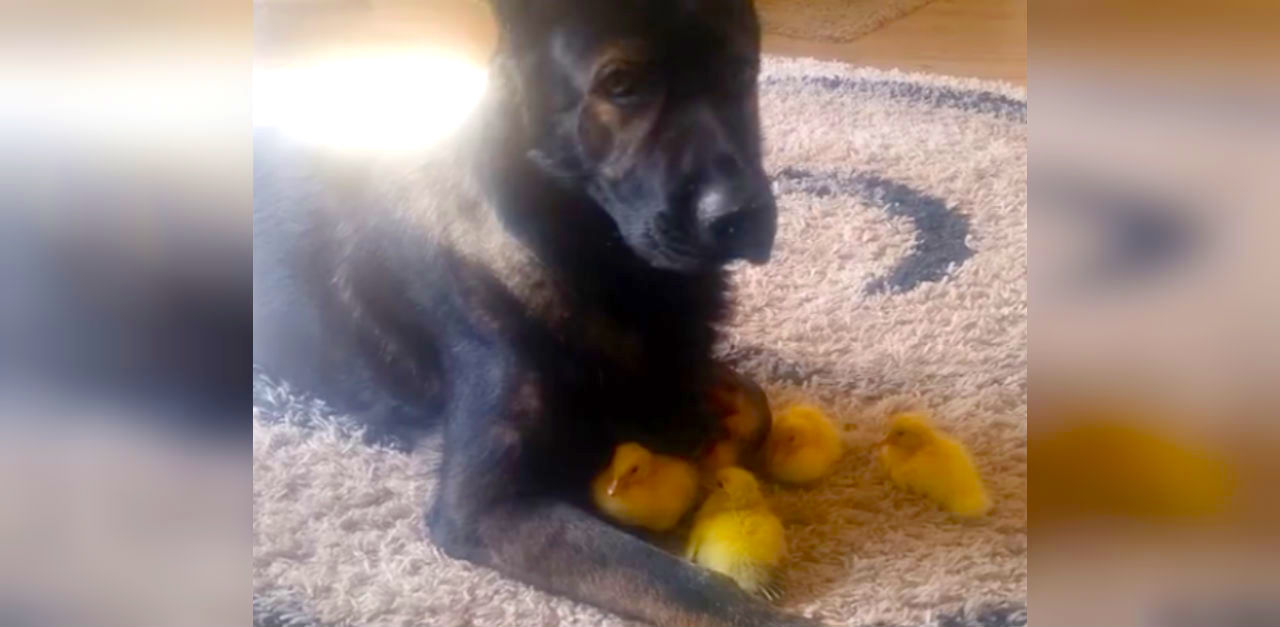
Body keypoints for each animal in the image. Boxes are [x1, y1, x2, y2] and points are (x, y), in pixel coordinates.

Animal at [254, 0, 808, 624]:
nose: (742, 218)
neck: (587, 256)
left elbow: (756, 404)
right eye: (621, 84)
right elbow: (690, 589)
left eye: (741, 72)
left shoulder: (668, 365)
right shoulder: (486, 509)